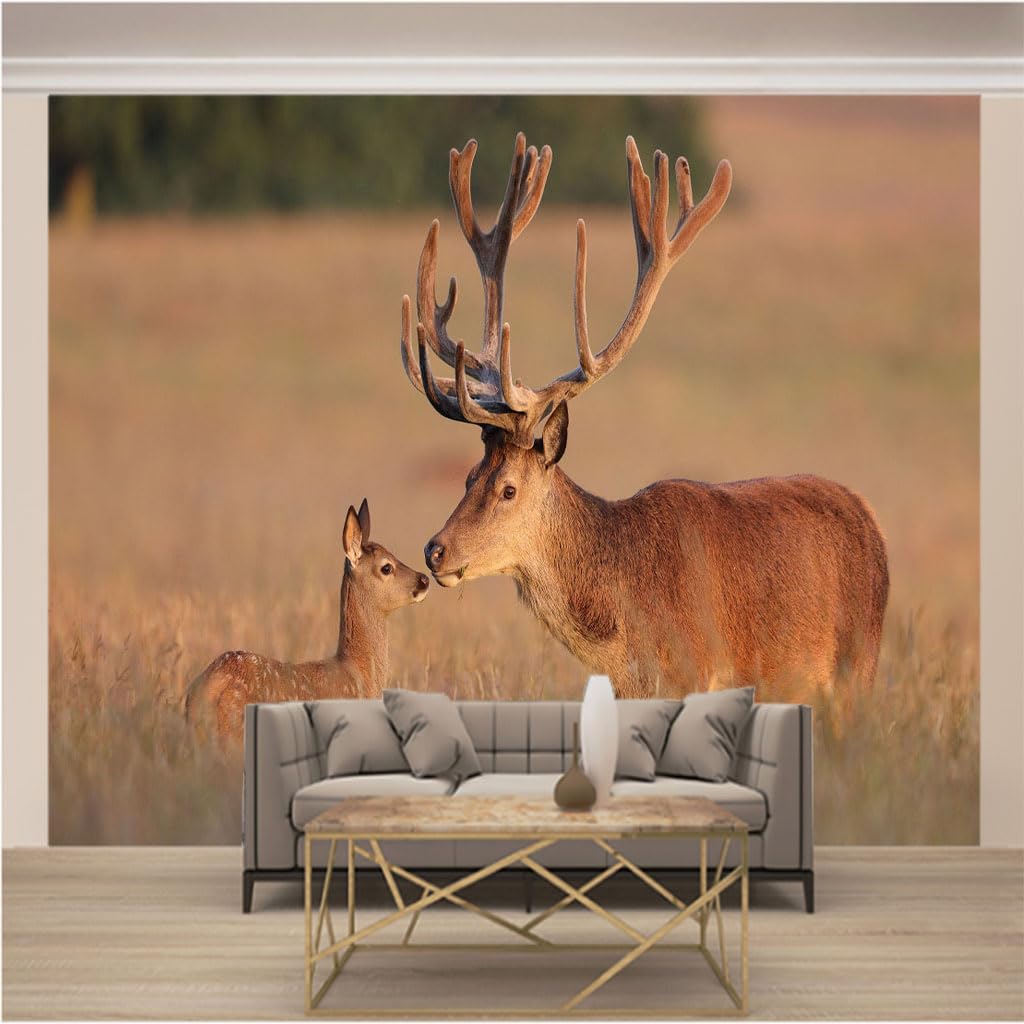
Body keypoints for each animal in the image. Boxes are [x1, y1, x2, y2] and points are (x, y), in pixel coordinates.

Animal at [398, 132, 889, 700]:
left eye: (508, 489)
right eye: (468, 476)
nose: (435, 550)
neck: (626, 642)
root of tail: (871, 521)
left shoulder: (696, 673)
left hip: (859, 667)